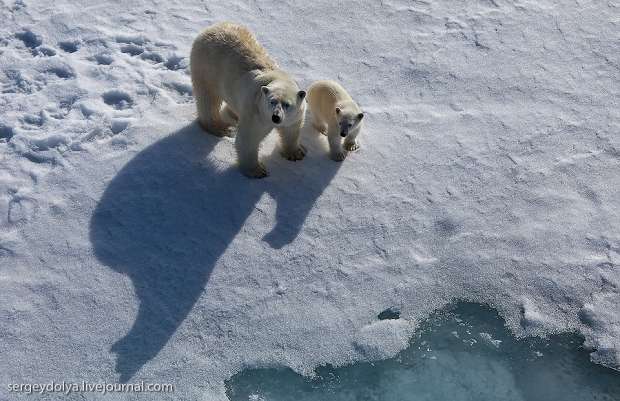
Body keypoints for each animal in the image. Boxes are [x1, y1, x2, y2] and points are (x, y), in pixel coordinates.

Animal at [189, 21, 306, 177]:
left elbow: (291, 131)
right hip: (206, 67)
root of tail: (210, 28)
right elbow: (248, 139)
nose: (276, 117)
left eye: (287, 104)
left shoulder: (294, 115)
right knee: (208, 99)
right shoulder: (256, 112)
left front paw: (296, 153)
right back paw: (221, 128)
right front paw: (257, 171)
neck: (277, 79)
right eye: (272, 101)